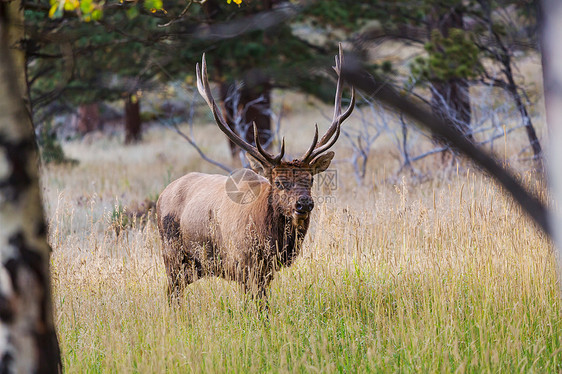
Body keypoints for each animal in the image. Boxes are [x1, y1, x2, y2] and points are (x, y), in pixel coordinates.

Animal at [155, 45, 352, 300]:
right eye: (278, 183)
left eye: (310, 180)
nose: (304, 203)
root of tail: (161, 195)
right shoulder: (243, 264)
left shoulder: (267, 271)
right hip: (172, 253)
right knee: (172, 292)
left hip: (195, 267)